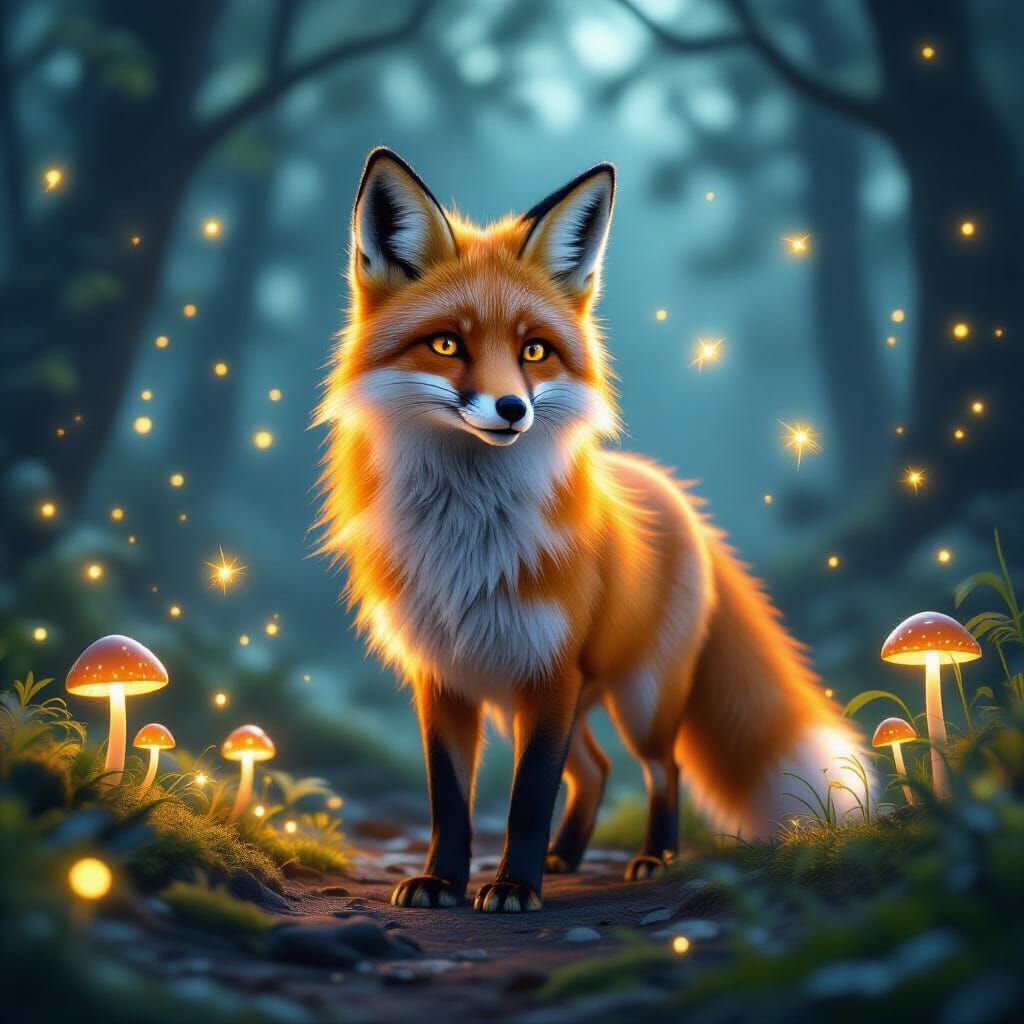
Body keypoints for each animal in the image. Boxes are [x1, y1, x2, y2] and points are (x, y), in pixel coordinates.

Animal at [315, 148, 865, 913]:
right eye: (447, 344)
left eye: (535, 352)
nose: (512, 409)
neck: (468, 534)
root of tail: (671, 490)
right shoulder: (445, 676)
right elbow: (449, 800)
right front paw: (442, 881)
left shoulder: (548, 674)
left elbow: (526, 797)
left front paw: (514, 887)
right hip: (552, 694)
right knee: (598, 770)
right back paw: (567, 856)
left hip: (639, 699)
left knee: (661, 770)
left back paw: (653, 858)